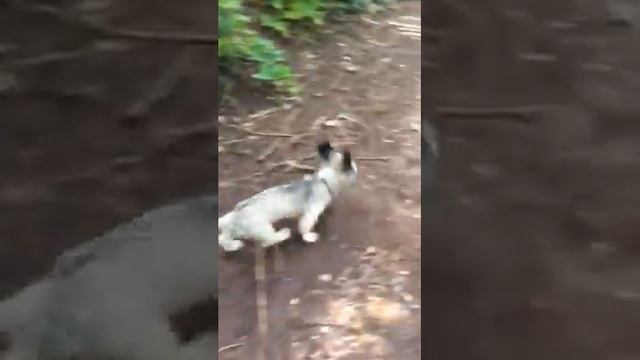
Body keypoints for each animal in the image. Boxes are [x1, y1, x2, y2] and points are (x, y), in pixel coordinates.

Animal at [219, 139, 360, 252]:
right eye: (354, 169)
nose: (358, 174)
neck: (323, 180)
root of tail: (237, 213)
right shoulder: (311, 211)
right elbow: (304, 226)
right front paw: (309, 237)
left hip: (238, 228)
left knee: (223, 237)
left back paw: (233, 245)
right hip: (262, 228)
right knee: (268, 241)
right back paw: (283, 234)